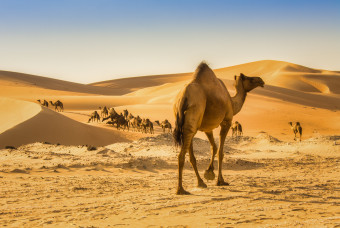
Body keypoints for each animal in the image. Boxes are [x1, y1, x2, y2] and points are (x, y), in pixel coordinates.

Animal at [173, 62, 266, 194]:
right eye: (250, 78)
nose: (261, 80)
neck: (232, 102)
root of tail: (183, 98)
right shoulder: (227, 121)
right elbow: (220, 152)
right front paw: (220, 180)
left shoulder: (207, 128)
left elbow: (214, 147)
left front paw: (209, 172)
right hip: (194, 115)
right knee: (182, 155)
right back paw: (181, 189)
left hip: (187, 124)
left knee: (191, 155)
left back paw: (200, 183)